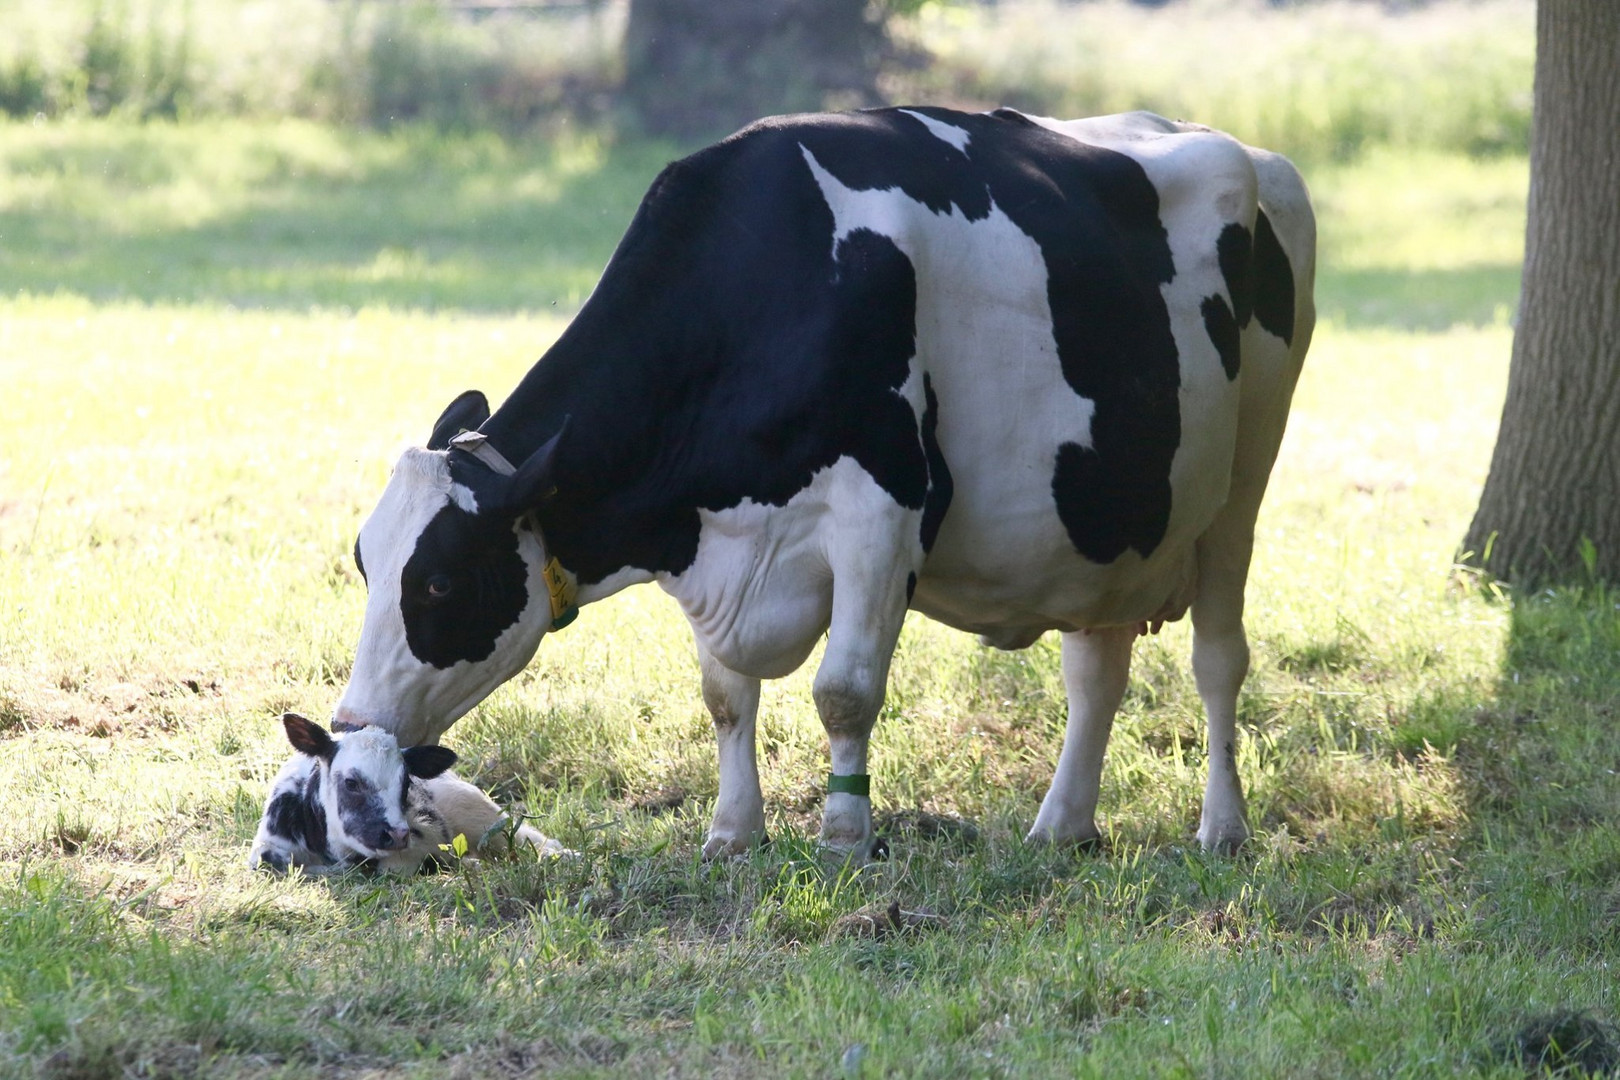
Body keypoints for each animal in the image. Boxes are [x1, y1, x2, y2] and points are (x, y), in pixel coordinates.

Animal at [328, 105, 1315, 854]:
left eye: (440, 580)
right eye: (364, 562)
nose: (346, 724)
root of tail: (1245, 151)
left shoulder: (883, 510)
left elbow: (844, 691)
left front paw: (844, 836)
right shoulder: (715, 550)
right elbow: (726, 698)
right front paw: (733, 835)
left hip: (1247, 476)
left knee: (1219, 658)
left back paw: (1222, 831)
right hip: (1109, 527)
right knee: (1096, 670)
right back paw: (1059, 829)